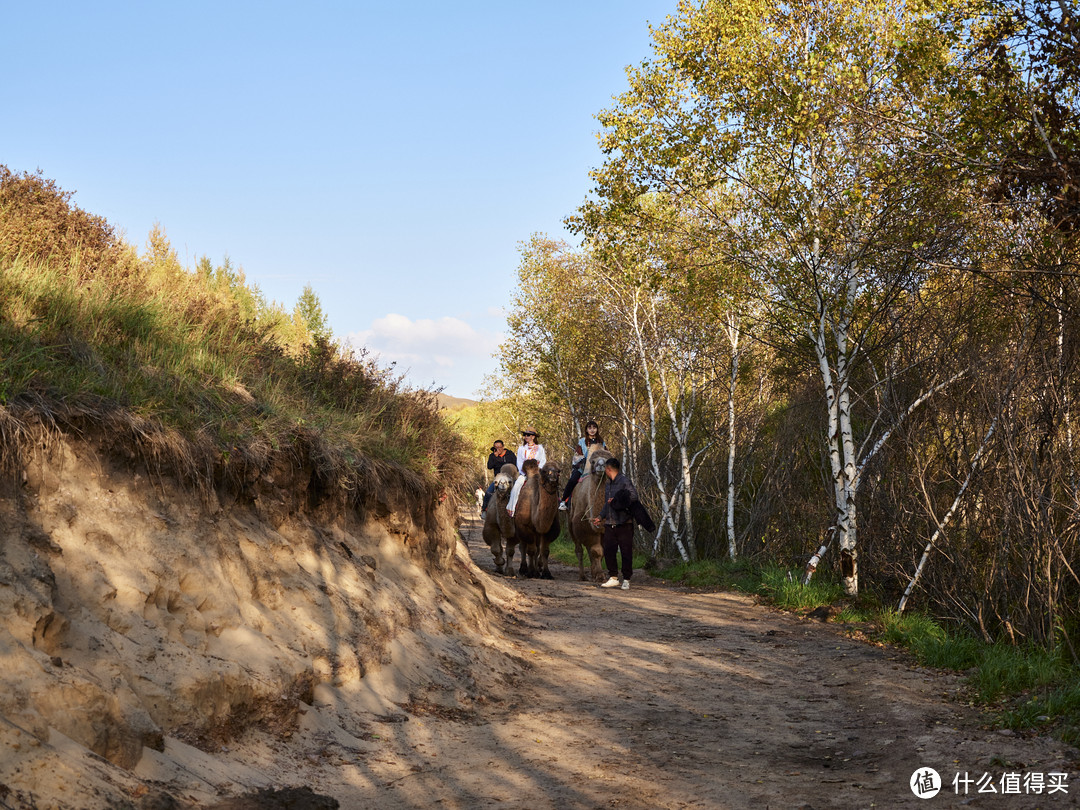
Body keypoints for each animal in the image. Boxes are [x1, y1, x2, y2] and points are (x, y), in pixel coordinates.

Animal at [565, 444, 617, 583]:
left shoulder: (603, 529)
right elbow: (596, 550)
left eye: (608, 461)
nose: (601, 465)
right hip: (571, 523)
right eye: (593, 461)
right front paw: (599, 575)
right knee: (579, 550)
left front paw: (598, 573)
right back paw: (582, 575)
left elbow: (602, 551)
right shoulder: (586, 527)